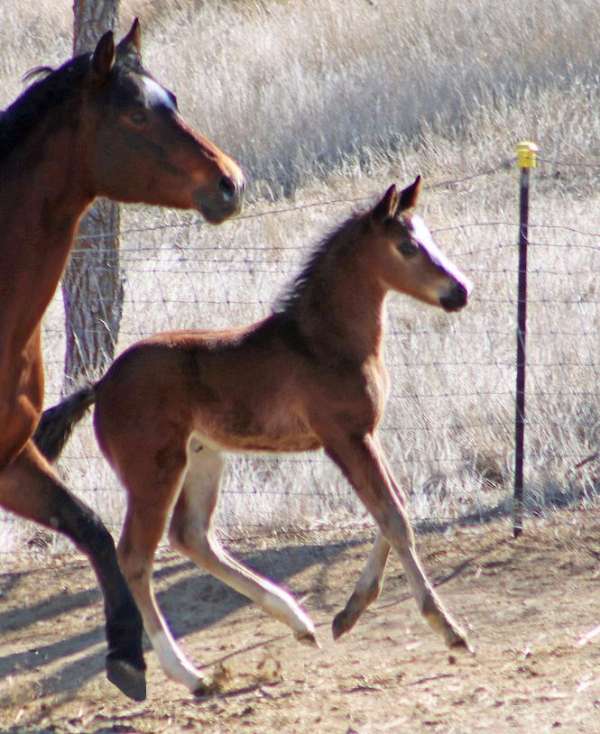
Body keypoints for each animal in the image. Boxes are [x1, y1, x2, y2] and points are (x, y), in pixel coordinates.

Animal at [0, 20, 244, 704]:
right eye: (135, 114)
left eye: (173, 100)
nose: (230, 182)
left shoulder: (11, 458)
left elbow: (93, 529)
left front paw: (129, 657)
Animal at [36, 178, 474, 696]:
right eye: (406, 246)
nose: (460, 291)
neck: (325, 342)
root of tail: (102, 383)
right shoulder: (344, 437)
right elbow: (393, 516)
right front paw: (449, 629)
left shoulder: (365, 434)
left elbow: (394, 509)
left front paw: (347, 615)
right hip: (154, 472)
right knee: (136, 556)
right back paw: (190, 674)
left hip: (203, 458)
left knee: (192, 535)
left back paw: (297, 622)